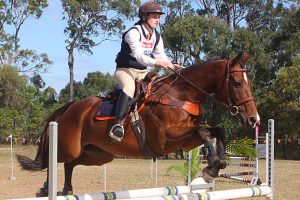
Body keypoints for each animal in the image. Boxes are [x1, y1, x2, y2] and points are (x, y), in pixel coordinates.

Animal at [17, 52, 260, 196]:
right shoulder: (165, 141)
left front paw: (216, 165)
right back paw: (45, 189)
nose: (253, 119)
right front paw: (211, 166)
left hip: (98, 154)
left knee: (70, 164)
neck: (182, 94)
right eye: (236, 83)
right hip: (70, 147)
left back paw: (66, 190)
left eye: (248, 82)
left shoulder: (186, 141)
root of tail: (71, 107)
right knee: (54, 160)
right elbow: (204, 130)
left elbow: (215, 130)